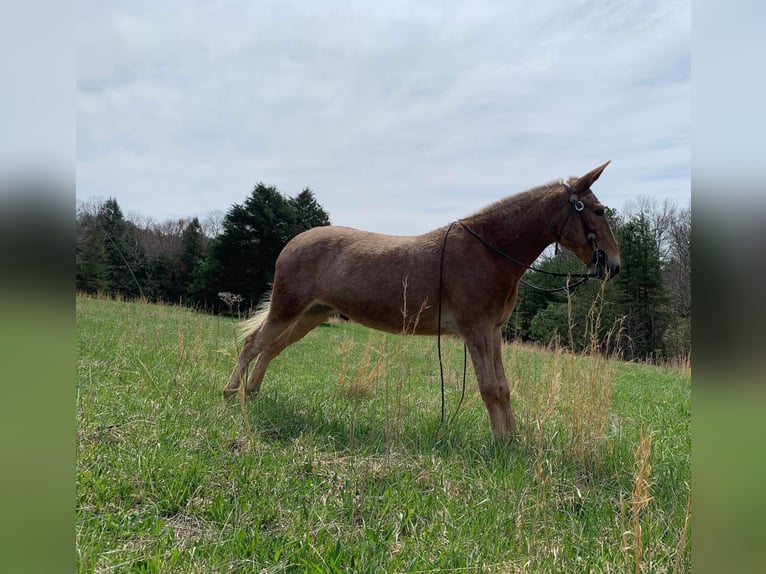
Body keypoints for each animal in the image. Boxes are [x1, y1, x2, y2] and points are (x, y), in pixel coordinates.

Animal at [225, 162, 620, 440]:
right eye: (598, 211)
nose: (613, 265)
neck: (488, 251)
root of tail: (293, 242)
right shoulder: (475, 330)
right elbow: (490, 388)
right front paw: (501, 442)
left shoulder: (493, 331)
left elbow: (503, 387)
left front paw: (512, 438)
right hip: (288, 308)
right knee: (253, 343)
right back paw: (231, 394)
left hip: (310, 314)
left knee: (271, 348)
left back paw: (253, 391)